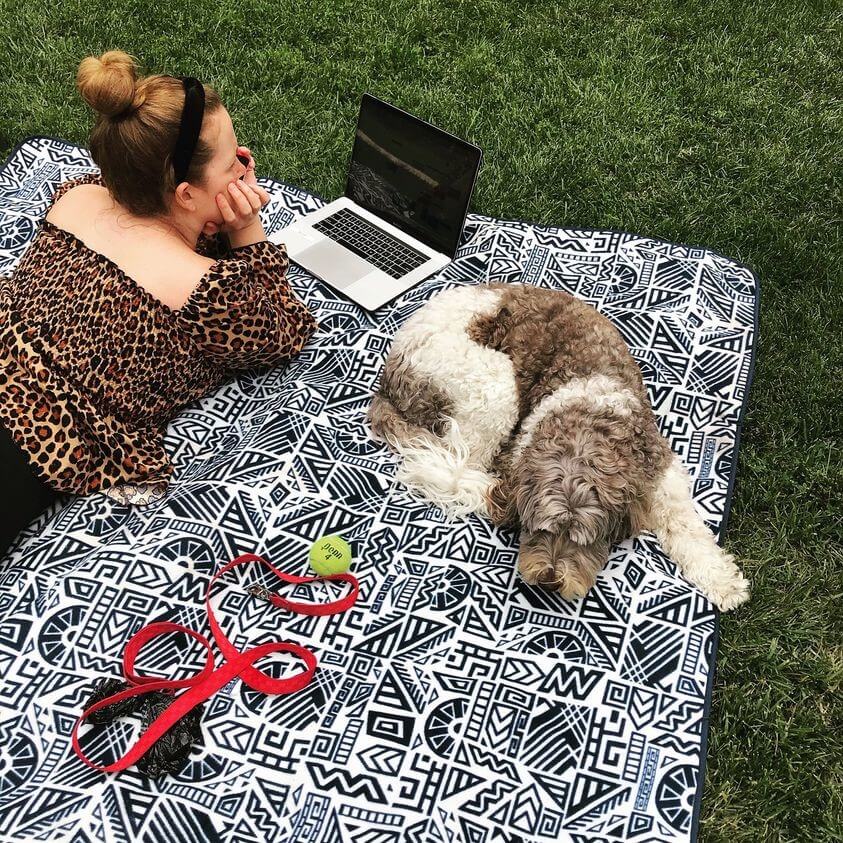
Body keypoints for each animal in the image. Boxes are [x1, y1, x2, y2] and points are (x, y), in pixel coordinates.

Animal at [367, 282, 750, 612]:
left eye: (585, 540)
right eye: (540, 529)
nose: (550, 582)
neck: (586, 423)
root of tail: (389, 377)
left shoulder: (659, 466)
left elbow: (686, 527)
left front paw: (724, 583)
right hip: (491, 386)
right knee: (464, 457)